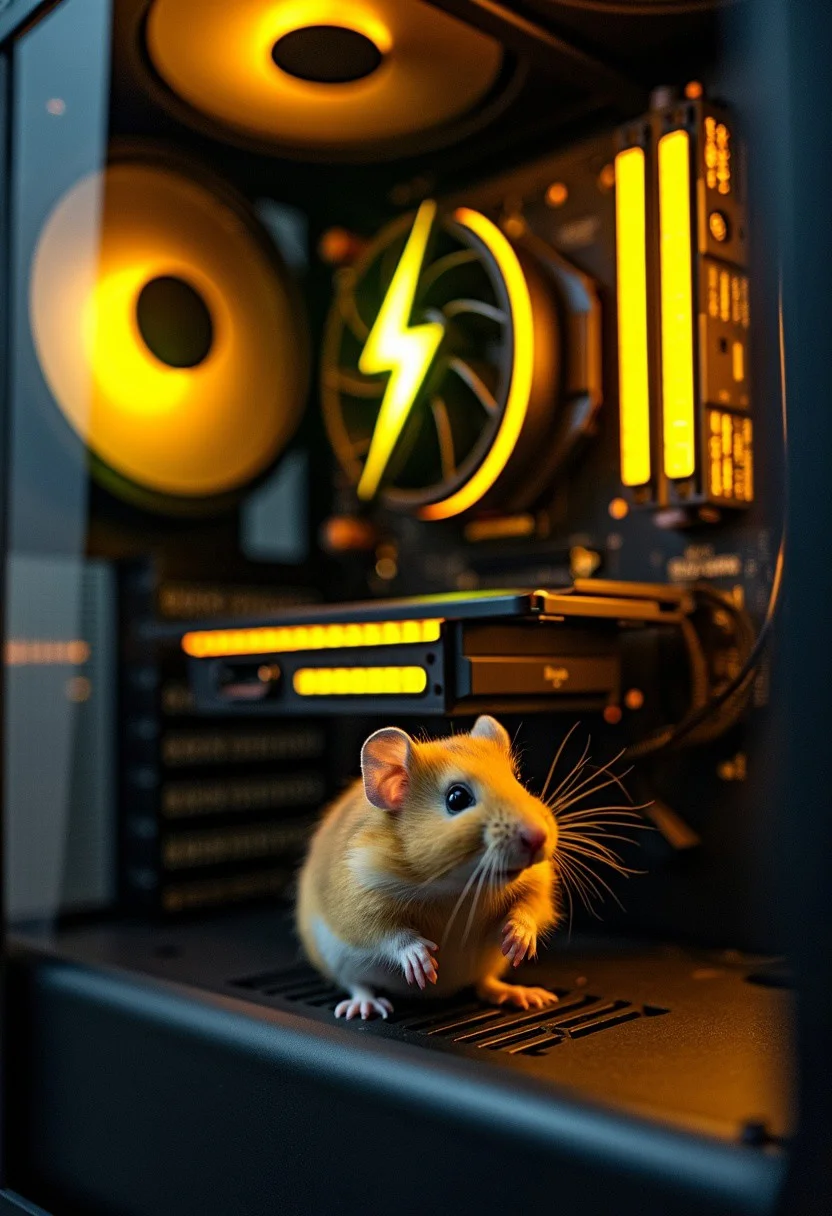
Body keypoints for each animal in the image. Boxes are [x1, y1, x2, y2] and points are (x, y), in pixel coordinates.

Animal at [296, 715, 559, 1020]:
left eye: (517, 779)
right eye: (457, 798)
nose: (539, 836)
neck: (458, 887)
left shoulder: (536, 883)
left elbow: (531, 905)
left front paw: (518, 941)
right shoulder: (358, 901)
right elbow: (388, 934)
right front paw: (422, 963)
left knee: (484, 983)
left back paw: (521, 994)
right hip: (337, 959)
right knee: (357, 984)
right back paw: (364, 1006)